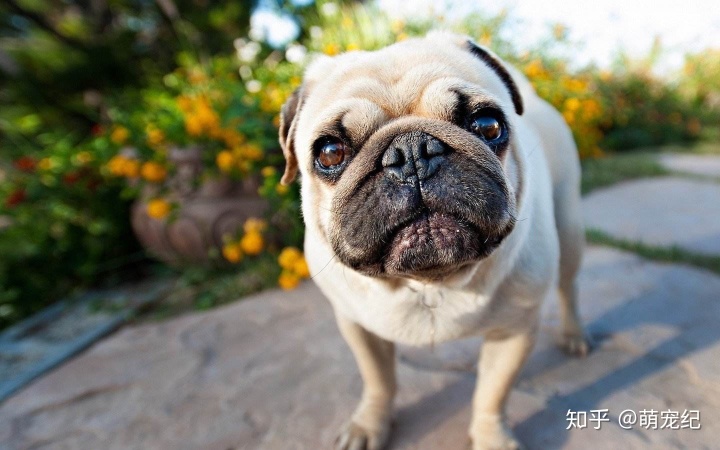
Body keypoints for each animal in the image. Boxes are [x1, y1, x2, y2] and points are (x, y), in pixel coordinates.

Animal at [278, 31, 588, 450]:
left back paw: (574, 334)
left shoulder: (514, 332)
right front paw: (369, 425)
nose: (411, 152)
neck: (429, 282)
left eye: (488, 125)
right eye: (329, 153)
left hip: (569, 227)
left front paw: (491, 437)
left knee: (568, 285)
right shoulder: (358, 327)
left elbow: (492, 395)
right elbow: (378, 380)